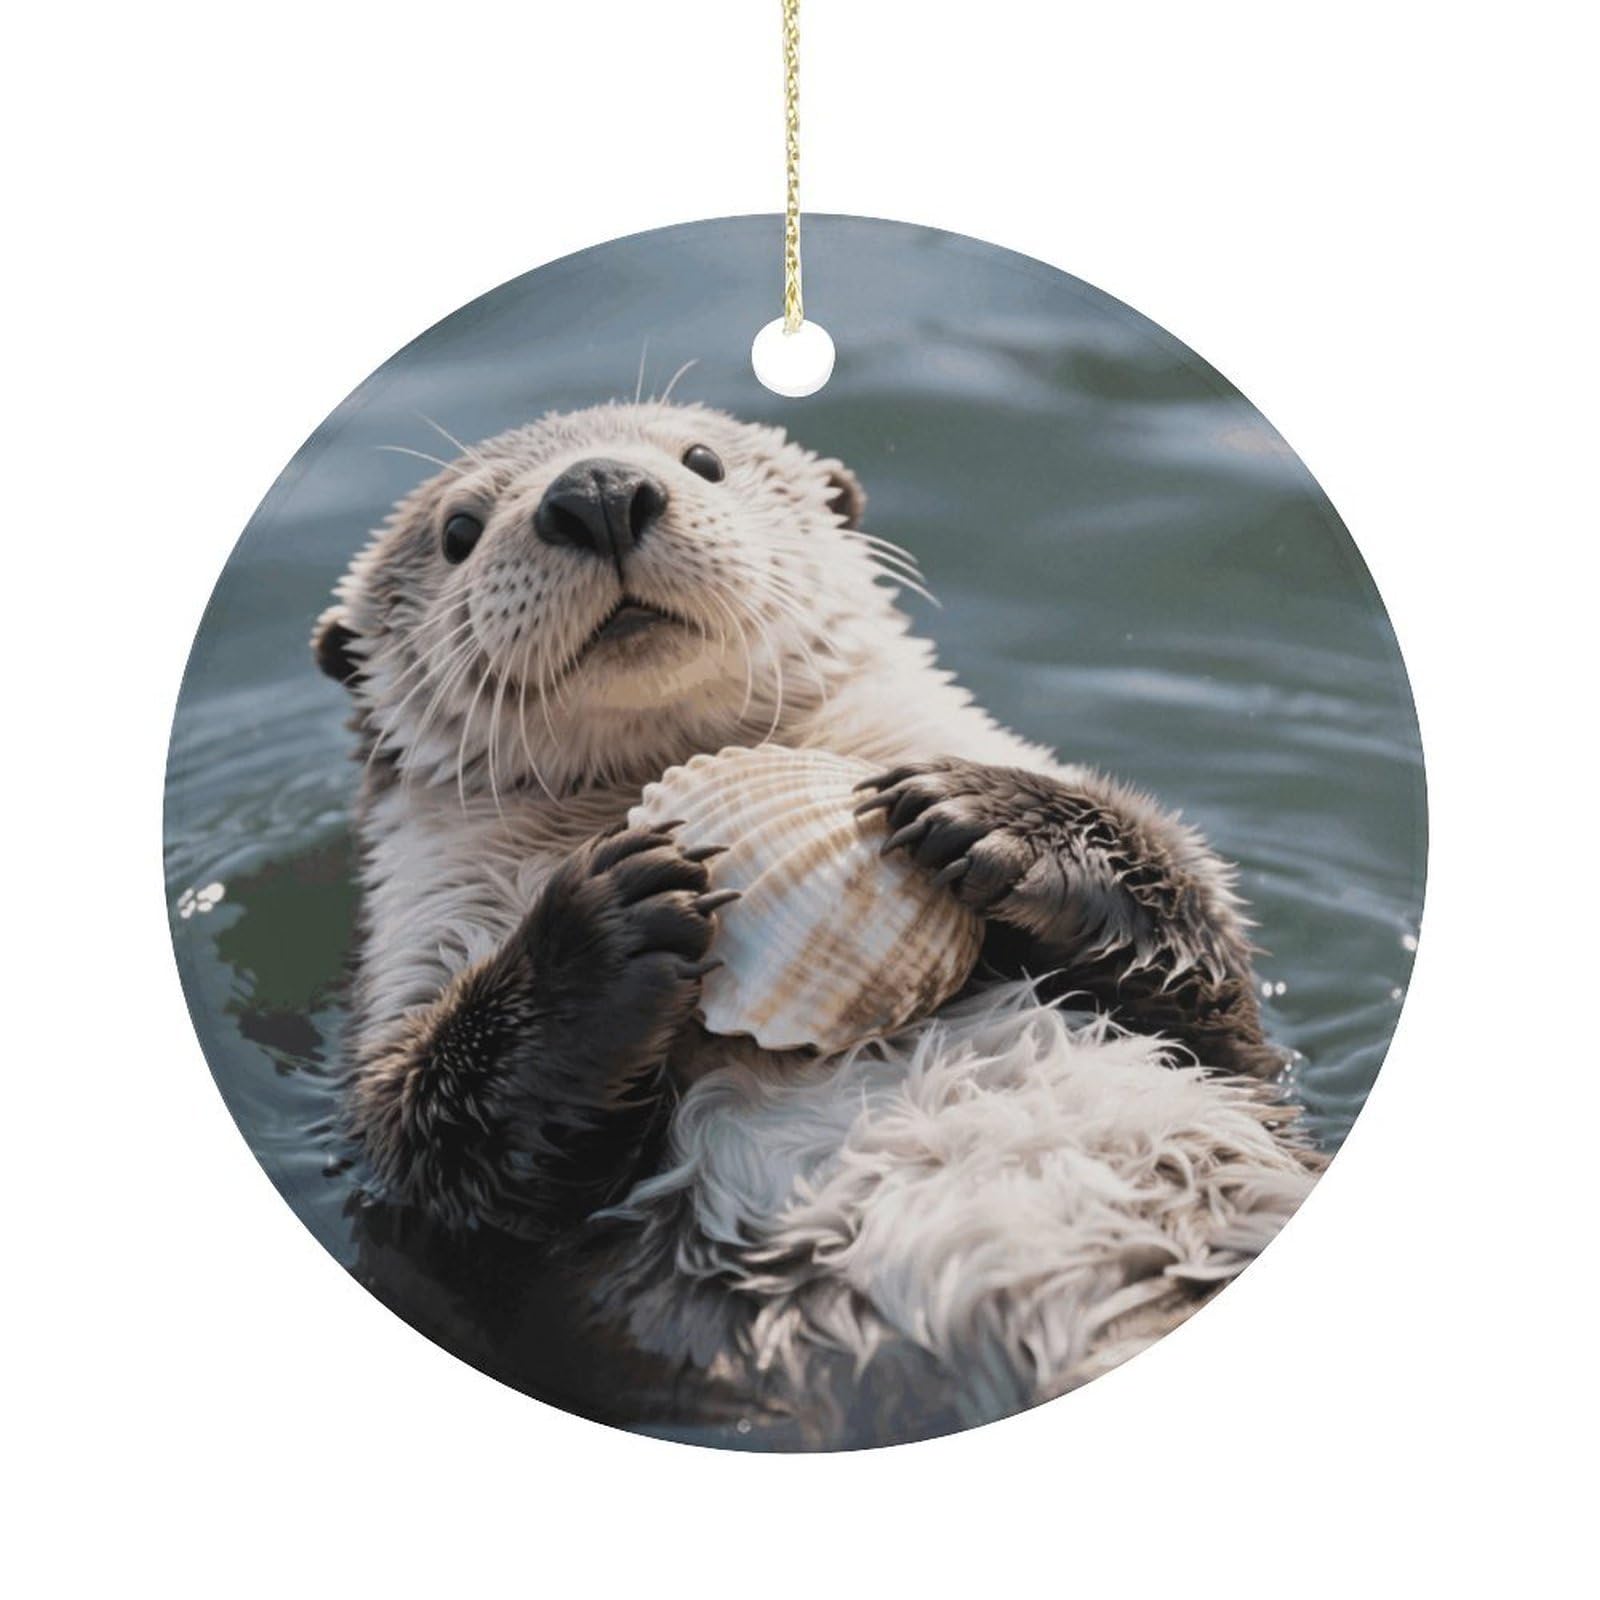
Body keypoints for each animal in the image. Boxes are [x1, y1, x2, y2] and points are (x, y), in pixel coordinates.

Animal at [314, 400, 1316, 1443]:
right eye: (458, 531)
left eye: (703, 459)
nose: (596, 491)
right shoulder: (410, 988)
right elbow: (442, 1148)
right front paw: (608, 927)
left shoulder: (1237, 1052)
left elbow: (1208, 967)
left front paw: (988, 817)